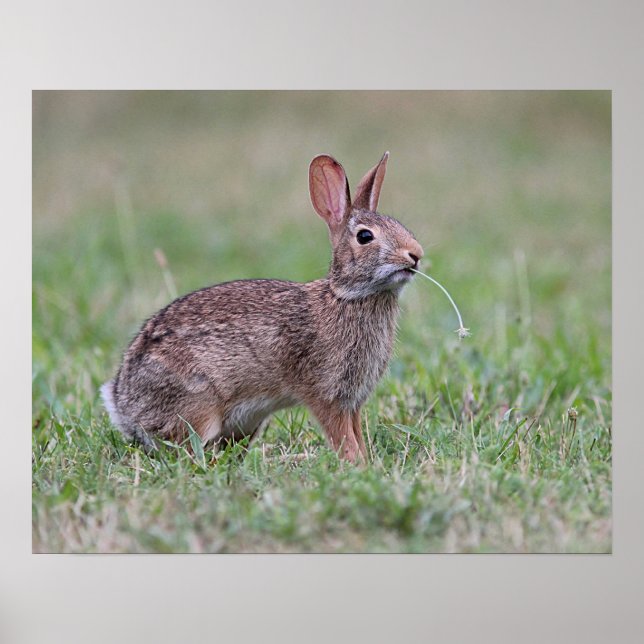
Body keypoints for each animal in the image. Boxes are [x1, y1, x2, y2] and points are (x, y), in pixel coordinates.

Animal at [101, 152, 424, 463]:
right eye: (365, 236)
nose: (416, 254)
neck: (347, 296)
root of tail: (123, 405)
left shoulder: (352, 402)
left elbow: (356, 433)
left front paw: (368, 463)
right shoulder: (326, 394)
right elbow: (343, 437)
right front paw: (357, 465)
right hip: (198, 408)